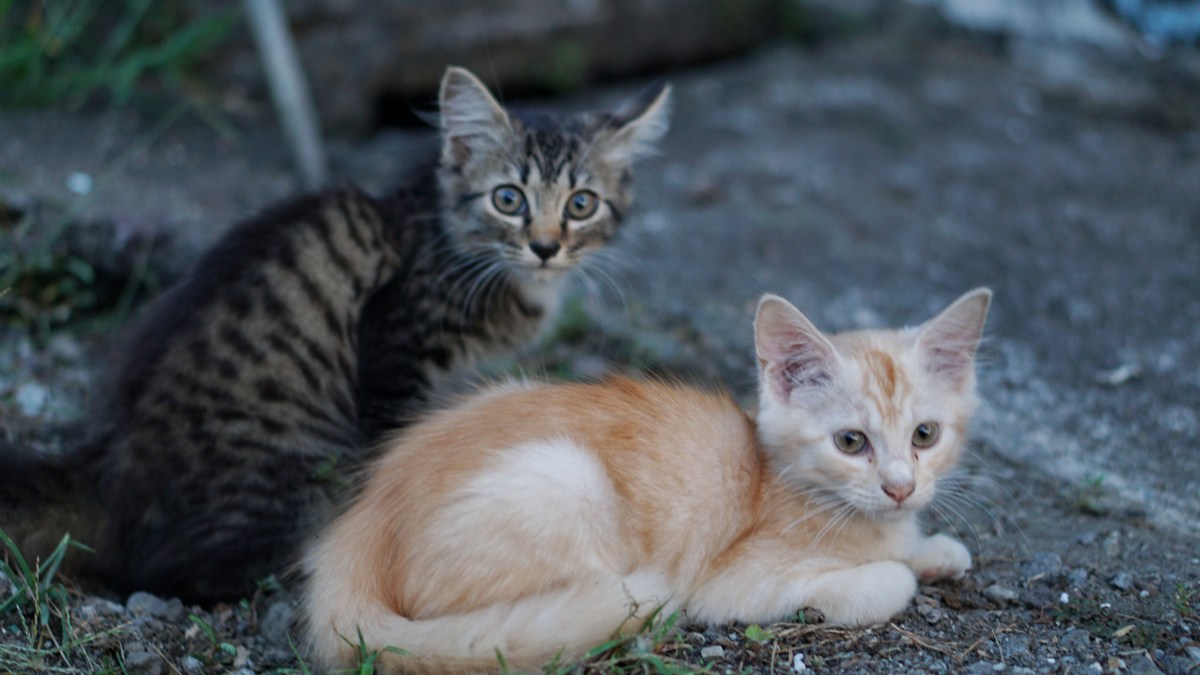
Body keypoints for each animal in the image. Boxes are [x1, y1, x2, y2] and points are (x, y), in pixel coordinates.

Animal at [0, 66, 671, 603]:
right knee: (173, 574)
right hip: (290, 466)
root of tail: (107, 472)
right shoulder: (395, 354)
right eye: (508, 199)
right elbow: (396, 452)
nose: (545, 247)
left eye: (581, 204)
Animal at [302, 288, 992, 673]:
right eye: (851, 443)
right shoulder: (733, 580)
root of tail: (363, 523)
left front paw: (932, 549)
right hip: (567, 479)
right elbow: (880, 582)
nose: (900, 487)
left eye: (924, 436)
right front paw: (902, 567)